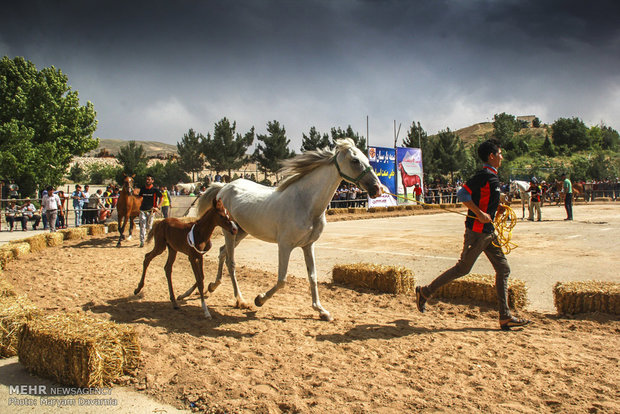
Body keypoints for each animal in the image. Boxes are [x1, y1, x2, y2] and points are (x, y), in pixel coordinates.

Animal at [178, 137, 382, 322]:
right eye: (355, 160)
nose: (377, 189)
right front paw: (259, 299)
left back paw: (209, 287)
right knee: (231, 262)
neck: (306, 203)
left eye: (367, 158)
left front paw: (322, 311)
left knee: (222, 253)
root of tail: (224, 187)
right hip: (230, 232)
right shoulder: (285, 246)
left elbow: (313, 277)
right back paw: (240, 300)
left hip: (240, 232)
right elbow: (282, 280)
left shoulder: (308, 245)